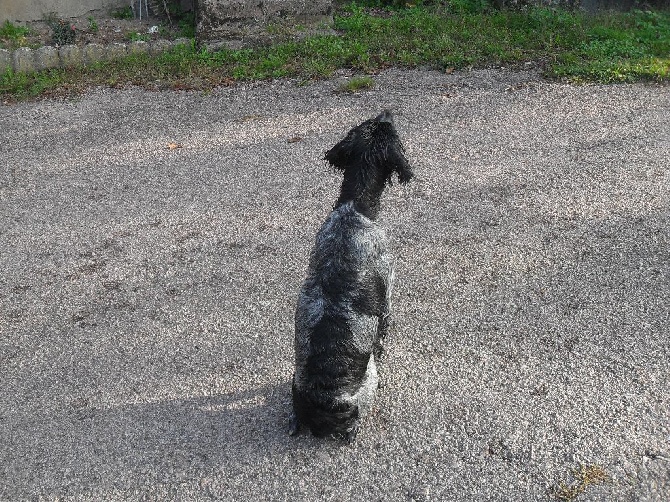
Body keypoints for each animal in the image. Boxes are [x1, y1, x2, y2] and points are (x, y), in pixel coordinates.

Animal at [290, 111, 414, 444]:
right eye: (388, 128)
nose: (387, 110)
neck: (354, 206)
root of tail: (321, 406)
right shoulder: (388, 296)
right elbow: (382, 338)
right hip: (369, 380)